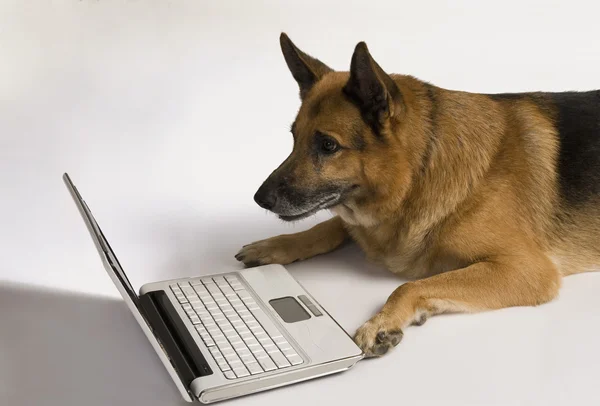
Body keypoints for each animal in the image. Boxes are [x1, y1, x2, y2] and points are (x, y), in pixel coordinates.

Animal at [234, 33, 600, 356]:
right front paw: (275, 245)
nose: (260, 199)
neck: (420, 172)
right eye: (294, 138)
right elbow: (328, 226)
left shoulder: (526, 269)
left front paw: (382, 322)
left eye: (327, 145)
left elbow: (409, 285)